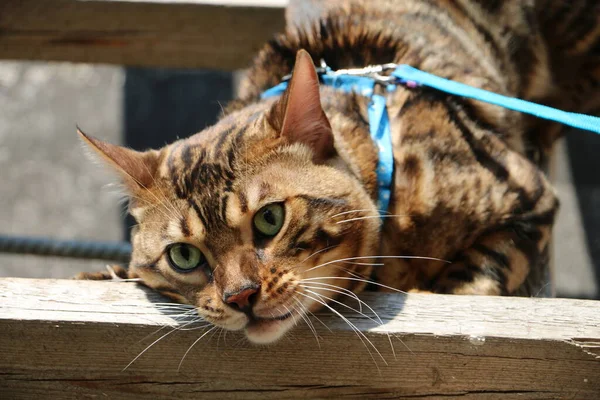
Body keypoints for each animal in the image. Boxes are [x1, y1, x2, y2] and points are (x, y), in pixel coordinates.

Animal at [75, 0, 600, 344]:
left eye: (270, 218)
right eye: (184, 255)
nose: (241, 296)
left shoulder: (528, 201)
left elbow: (477, 279)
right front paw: (107, 276)